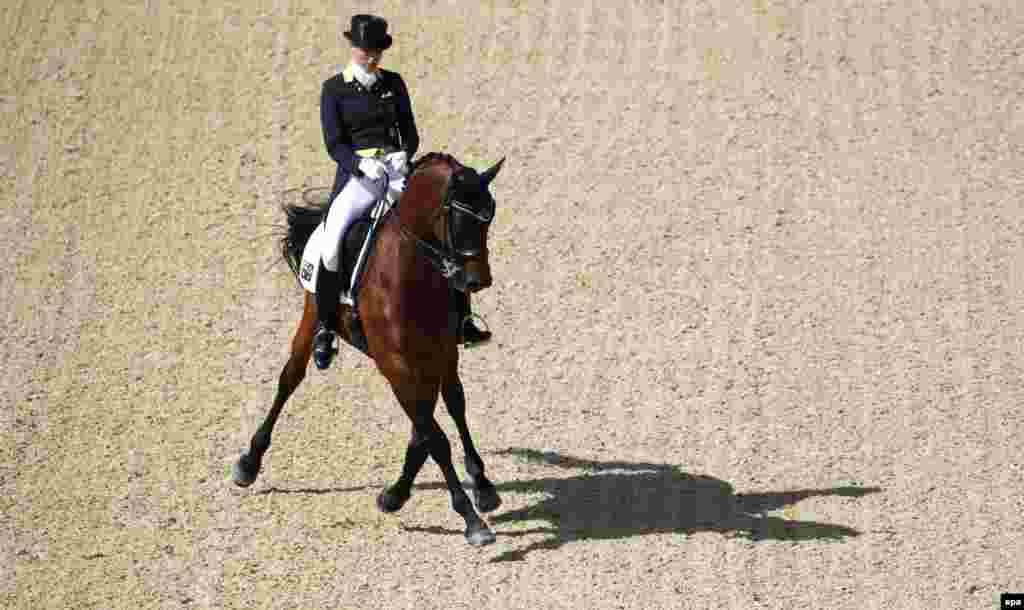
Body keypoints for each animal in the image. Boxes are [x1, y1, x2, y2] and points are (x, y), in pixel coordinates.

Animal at [230, 150, 505, 544]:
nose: (476, 280)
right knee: (290, 378)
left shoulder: (441, 354)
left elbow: (450, 412)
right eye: (457, 216)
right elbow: (435, 438)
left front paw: (475, 486)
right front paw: (470, 517)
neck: (412, 275)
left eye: (490, 215)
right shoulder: (397, 367)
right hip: (312, 314)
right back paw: (249, 462)